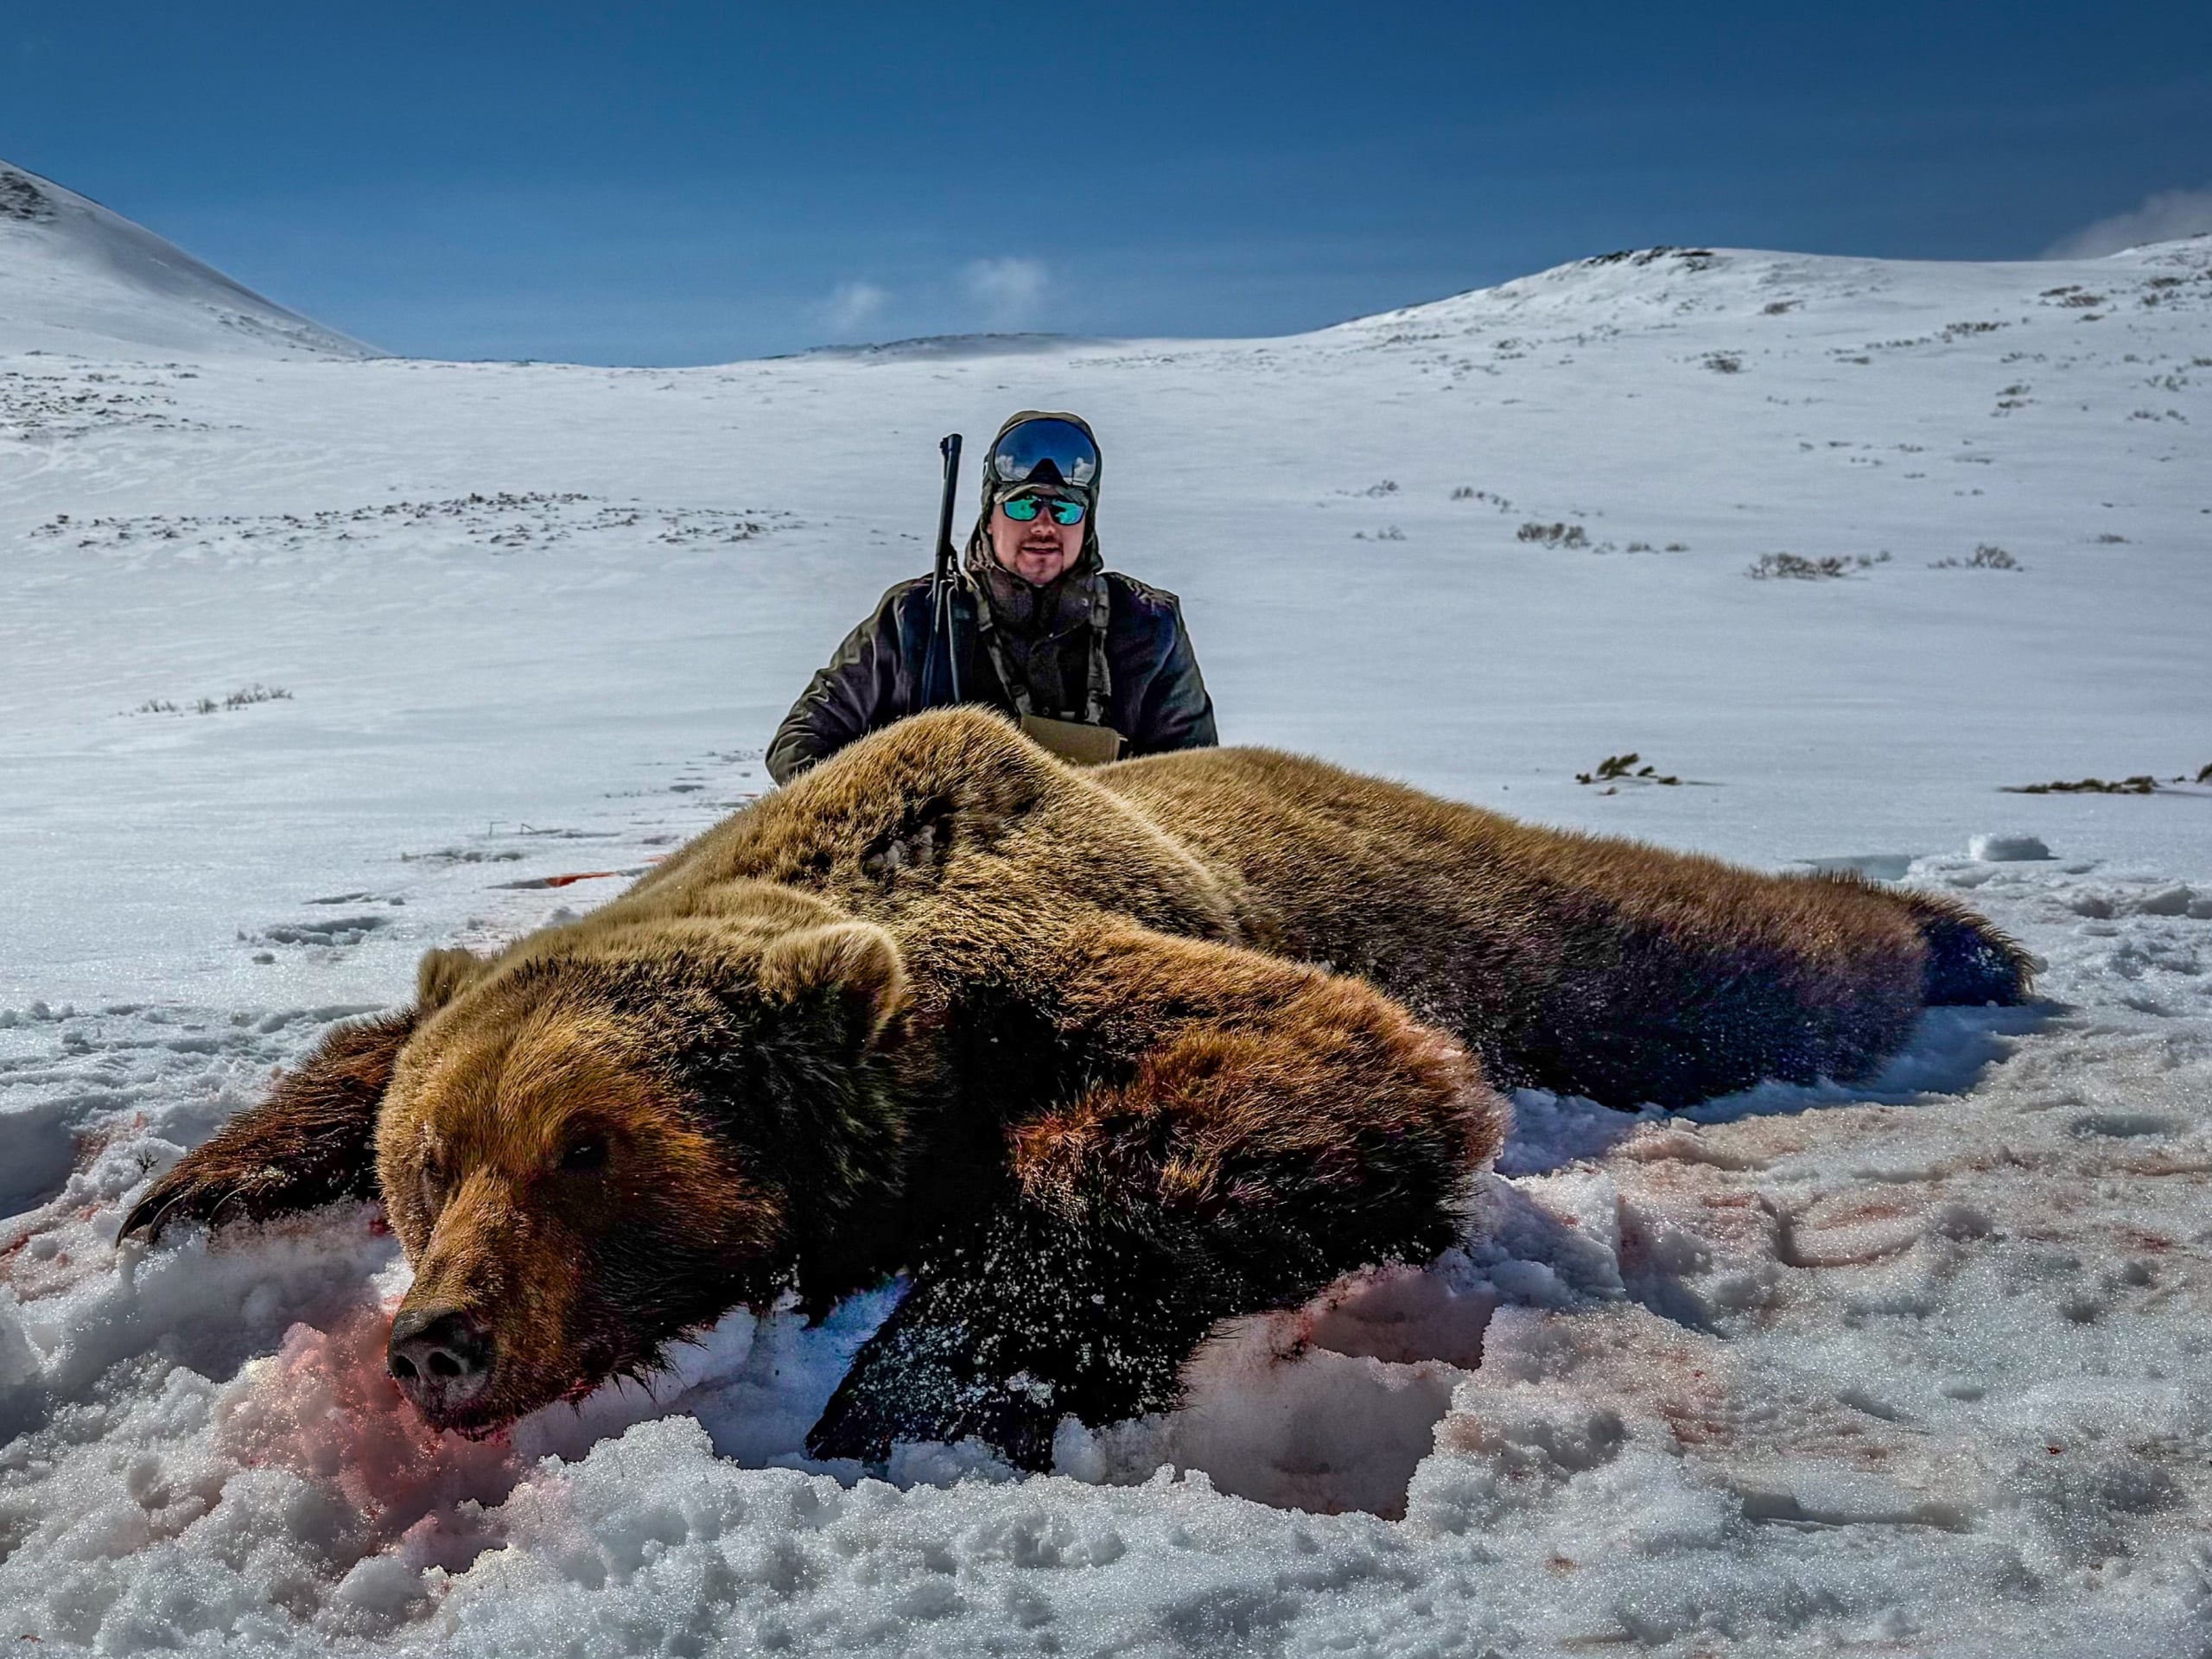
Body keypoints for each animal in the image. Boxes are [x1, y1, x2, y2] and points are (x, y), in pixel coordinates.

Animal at [122, 707, 2028, 1469]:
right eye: (428, 1165)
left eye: (586, 1147)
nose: (435, 1340)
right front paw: (189, 1193)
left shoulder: (1039, 963)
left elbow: (1312, 1068)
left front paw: (916, 1392)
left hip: (1513, 930)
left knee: (1717, 951)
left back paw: (1958, 939)